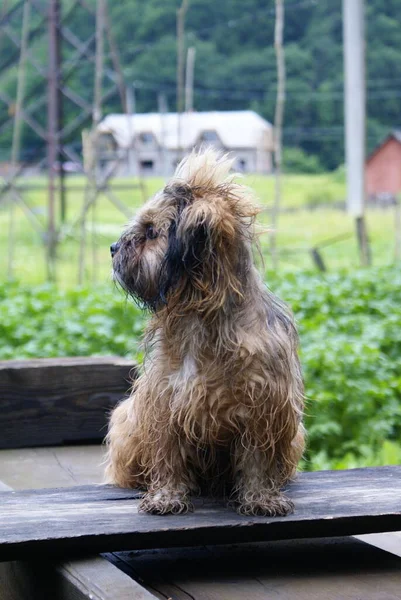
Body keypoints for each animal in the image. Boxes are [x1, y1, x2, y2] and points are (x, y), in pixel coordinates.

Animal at [104, 150, 304, 516]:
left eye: (151, 232)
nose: (113, 247)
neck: (202, 317)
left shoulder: (265, 404)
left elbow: (258, 459)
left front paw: (261, 498)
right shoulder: (165, 399)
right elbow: (168, 453)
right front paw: (166, 496)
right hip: (128, 420)